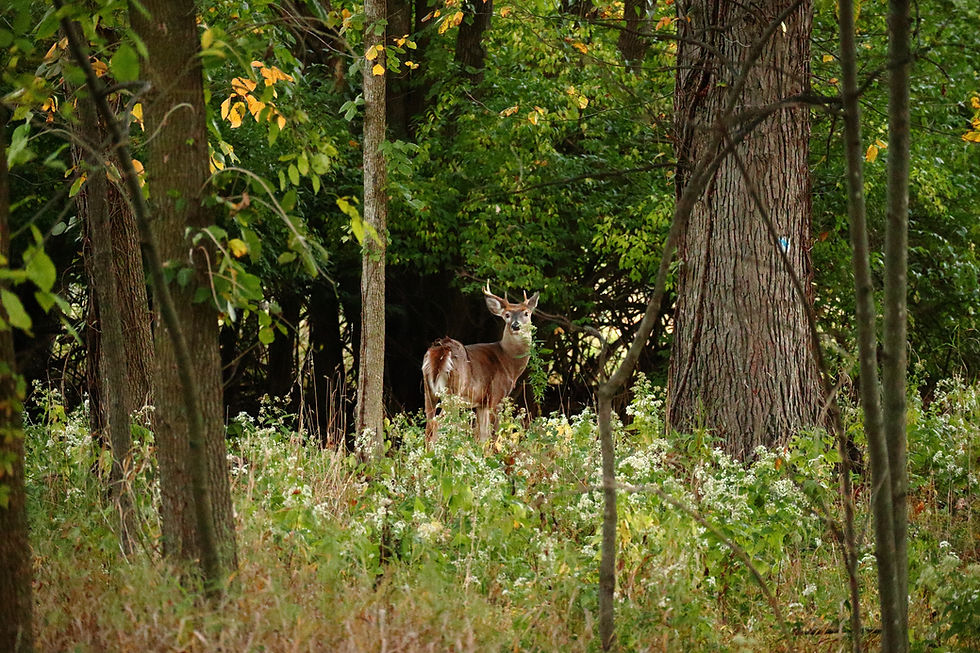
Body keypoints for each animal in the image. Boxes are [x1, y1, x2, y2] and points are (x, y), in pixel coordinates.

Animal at [422, 283, 540, 443]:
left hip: (428, 391)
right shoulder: (496, 396)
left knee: (428, 426)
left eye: (526, 313)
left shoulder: (481, 403)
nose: (516, 326)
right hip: (453, 392)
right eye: (507, 315)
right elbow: (492, 435)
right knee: (437, 424)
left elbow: (481, 436)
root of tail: (441, 349)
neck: (508, 361)